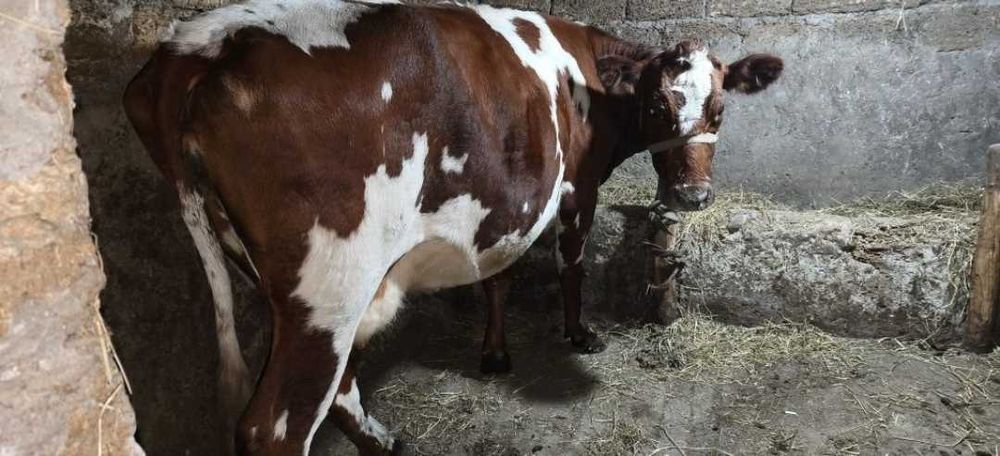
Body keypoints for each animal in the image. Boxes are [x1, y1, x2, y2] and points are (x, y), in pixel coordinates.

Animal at [123, 0, 783, 454]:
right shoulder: (578, 188)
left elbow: (498, 274)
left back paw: (382, 440)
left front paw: (493, 352)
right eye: (656, 105)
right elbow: (570, 266)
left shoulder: (508, 202)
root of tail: (200, 44)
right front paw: (578, 334)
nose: (693, 195)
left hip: (269, 273)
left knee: (339, 385)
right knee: (276, 426)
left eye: (720, 108)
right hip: (329, 284)